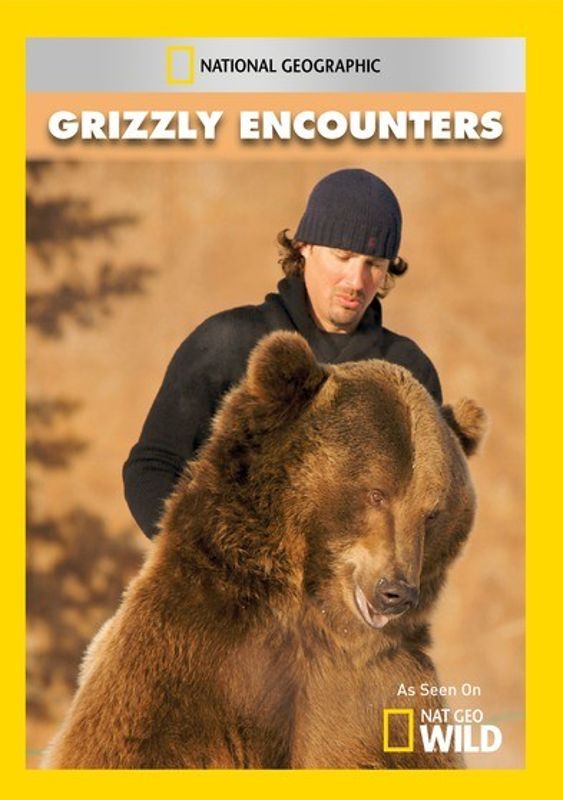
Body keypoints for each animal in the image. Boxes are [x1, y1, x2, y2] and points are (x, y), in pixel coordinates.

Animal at [42, 331, 487, 770]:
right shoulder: (191, 665)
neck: (312, 619)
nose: (396, 592)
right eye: (375, 493)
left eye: (432, 512)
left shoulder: (379, 699)